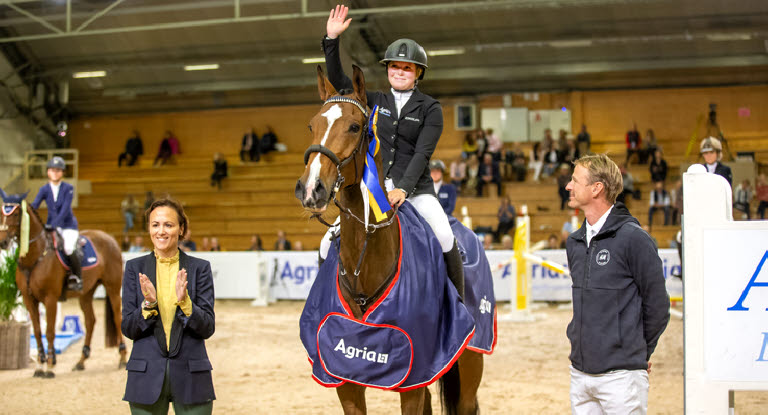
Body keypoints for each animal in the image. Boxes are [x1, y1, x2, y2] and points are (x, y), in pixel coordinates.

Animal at [0, 190, 126, 378]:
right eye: (1, 213)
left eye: (15, 214)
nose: (3, 242)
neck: (36, 256)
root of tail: (109, 238)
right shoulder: (29, 300)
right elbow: (37, 332)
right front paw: (40, 366)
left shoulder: (50, 298)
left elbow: (50, 332)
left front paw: (50, 366)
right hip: (86, 292)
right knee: (90, 321)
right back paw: (81, 362)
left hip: (113, 287)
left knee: (118, 317)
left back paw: (123, 359)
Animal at [296, 65, 484, 415]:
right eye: (312, 125)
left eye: (355, 127)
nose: (311, 188)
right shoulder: (344, 374)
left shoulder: (413, 373)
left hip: (469, 361)